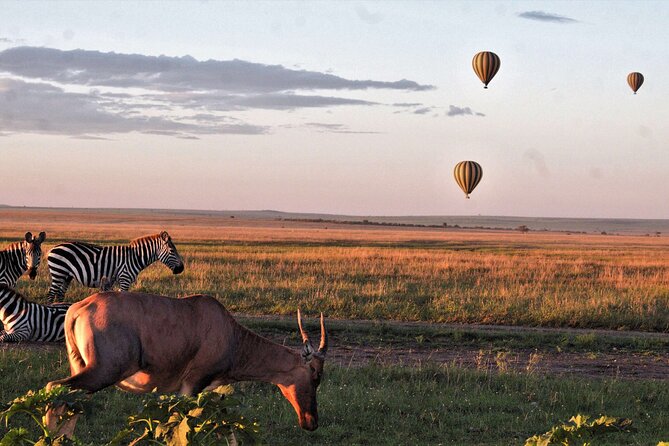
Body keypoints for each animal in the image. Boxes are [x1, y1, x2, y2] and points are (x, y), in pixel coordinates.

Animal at [44, 292, 326, 436]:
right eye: (315, 375)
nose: (311, 422)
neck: (227, 330)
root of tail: (79, 308)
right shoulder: (192, 386)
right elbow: (185, 424)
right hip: (102, 372)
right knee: (54, 389)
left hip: (82, 368)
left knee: (69, 404)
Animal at [46, 232, 184, 302]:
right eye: (172, 251)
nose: (182, 268)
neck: (135, 257)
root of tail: (53, 248)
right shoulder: (125, 278)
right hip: (58, 272)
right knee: (51, 294)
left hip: (66, 276)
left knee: (60, 294)